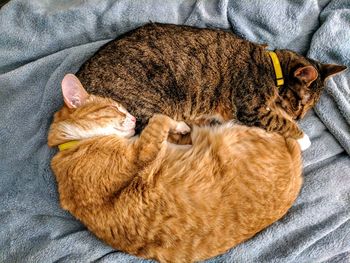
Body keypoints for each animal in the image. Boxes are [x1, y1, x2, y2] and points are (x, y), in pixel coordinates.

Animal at [48, 74, 304, 263]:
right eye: (116, 109)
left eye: (123, 108)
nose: (133, 118)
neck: (73, 145)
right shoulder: (141, 150)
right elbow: (160, 119)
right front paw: (178, 124)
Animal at [76, 22, 348, 145]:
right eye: (301, 103)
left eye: (309, 107)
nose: (300, 117)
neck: (272, 69)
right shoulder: (250, 106)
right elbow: (277, 120)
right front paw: (302, 137)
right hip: (150, 100)